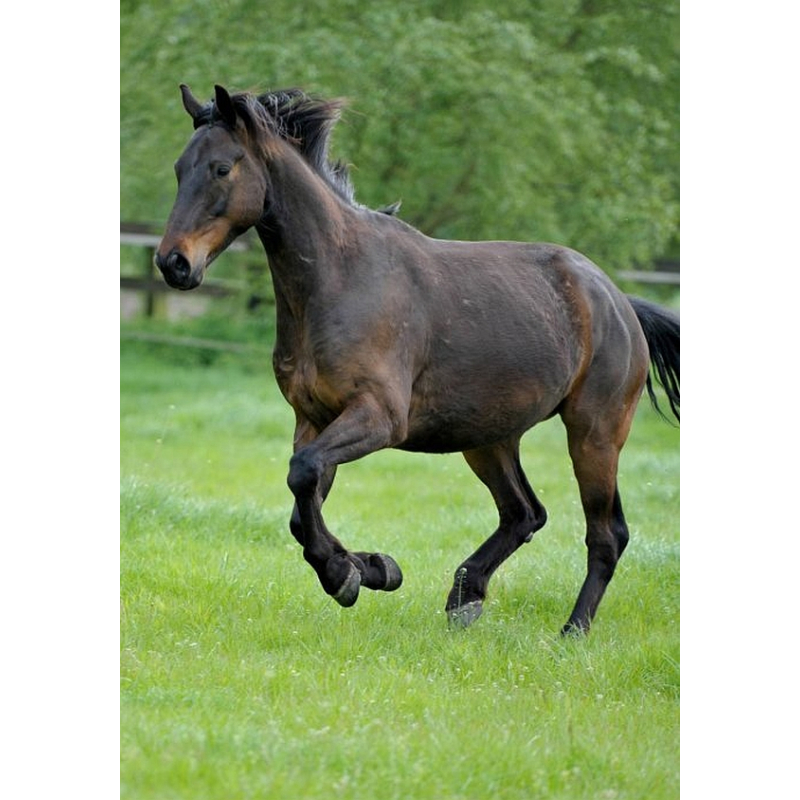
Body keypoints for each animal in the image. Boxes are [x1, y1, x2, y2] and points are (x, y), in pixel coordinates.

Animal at [155, 84, 679, 635]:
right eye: (179, 168)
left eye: (221, 168)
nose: (173, 263)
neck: (339, 279)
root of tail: (618, 301)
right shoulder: (313, 418)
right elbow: (302, 504)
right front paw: (369, 569)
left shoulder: (380, 418)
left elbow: (303, 474)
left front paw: (349, 573)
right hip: (488, 437)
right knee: (524, 513)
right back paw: (465, 598)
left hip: (594, 433)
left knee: (606, 533)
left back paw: (570, 632)